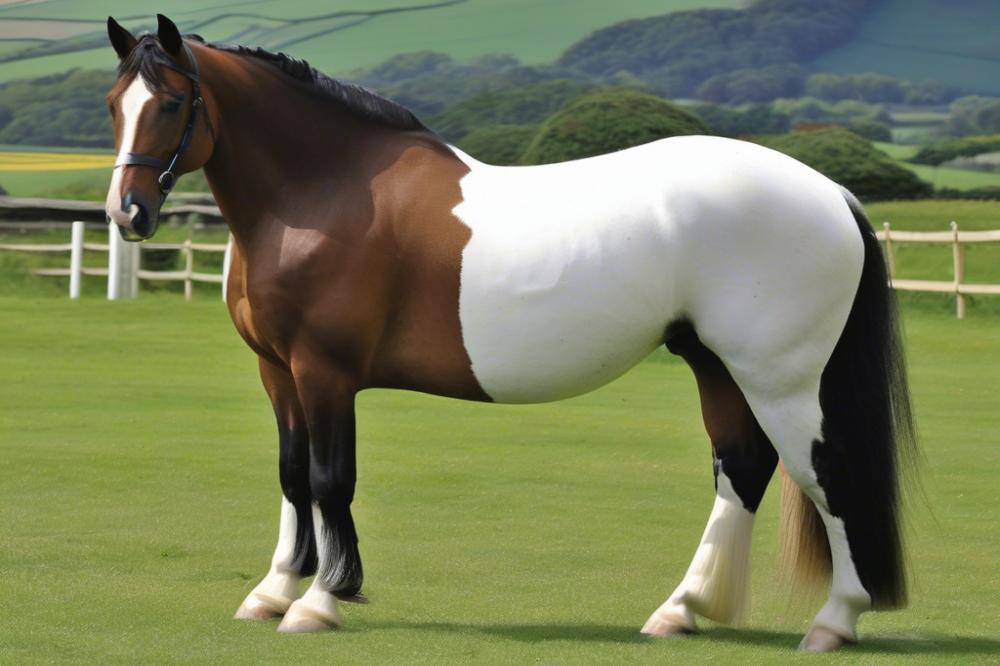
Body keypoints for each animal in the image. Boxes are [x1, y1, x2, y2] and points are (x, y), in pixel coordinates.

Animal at [105, 14, 916, 648]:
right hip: (714, 365)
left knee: (825, 473)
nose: (127, 213)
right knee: (741, 469)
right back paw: (679, 611)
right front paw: (272, 591)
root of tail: (831, 192)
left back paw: (833, 622)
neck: (326, 193)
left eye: (172, 103)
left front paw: (320, 601)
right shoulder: (278, 371)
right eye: (116, 104)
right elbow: (292, 475)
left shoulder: (324, 371)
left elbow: (332, 479)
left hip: (781, 378)